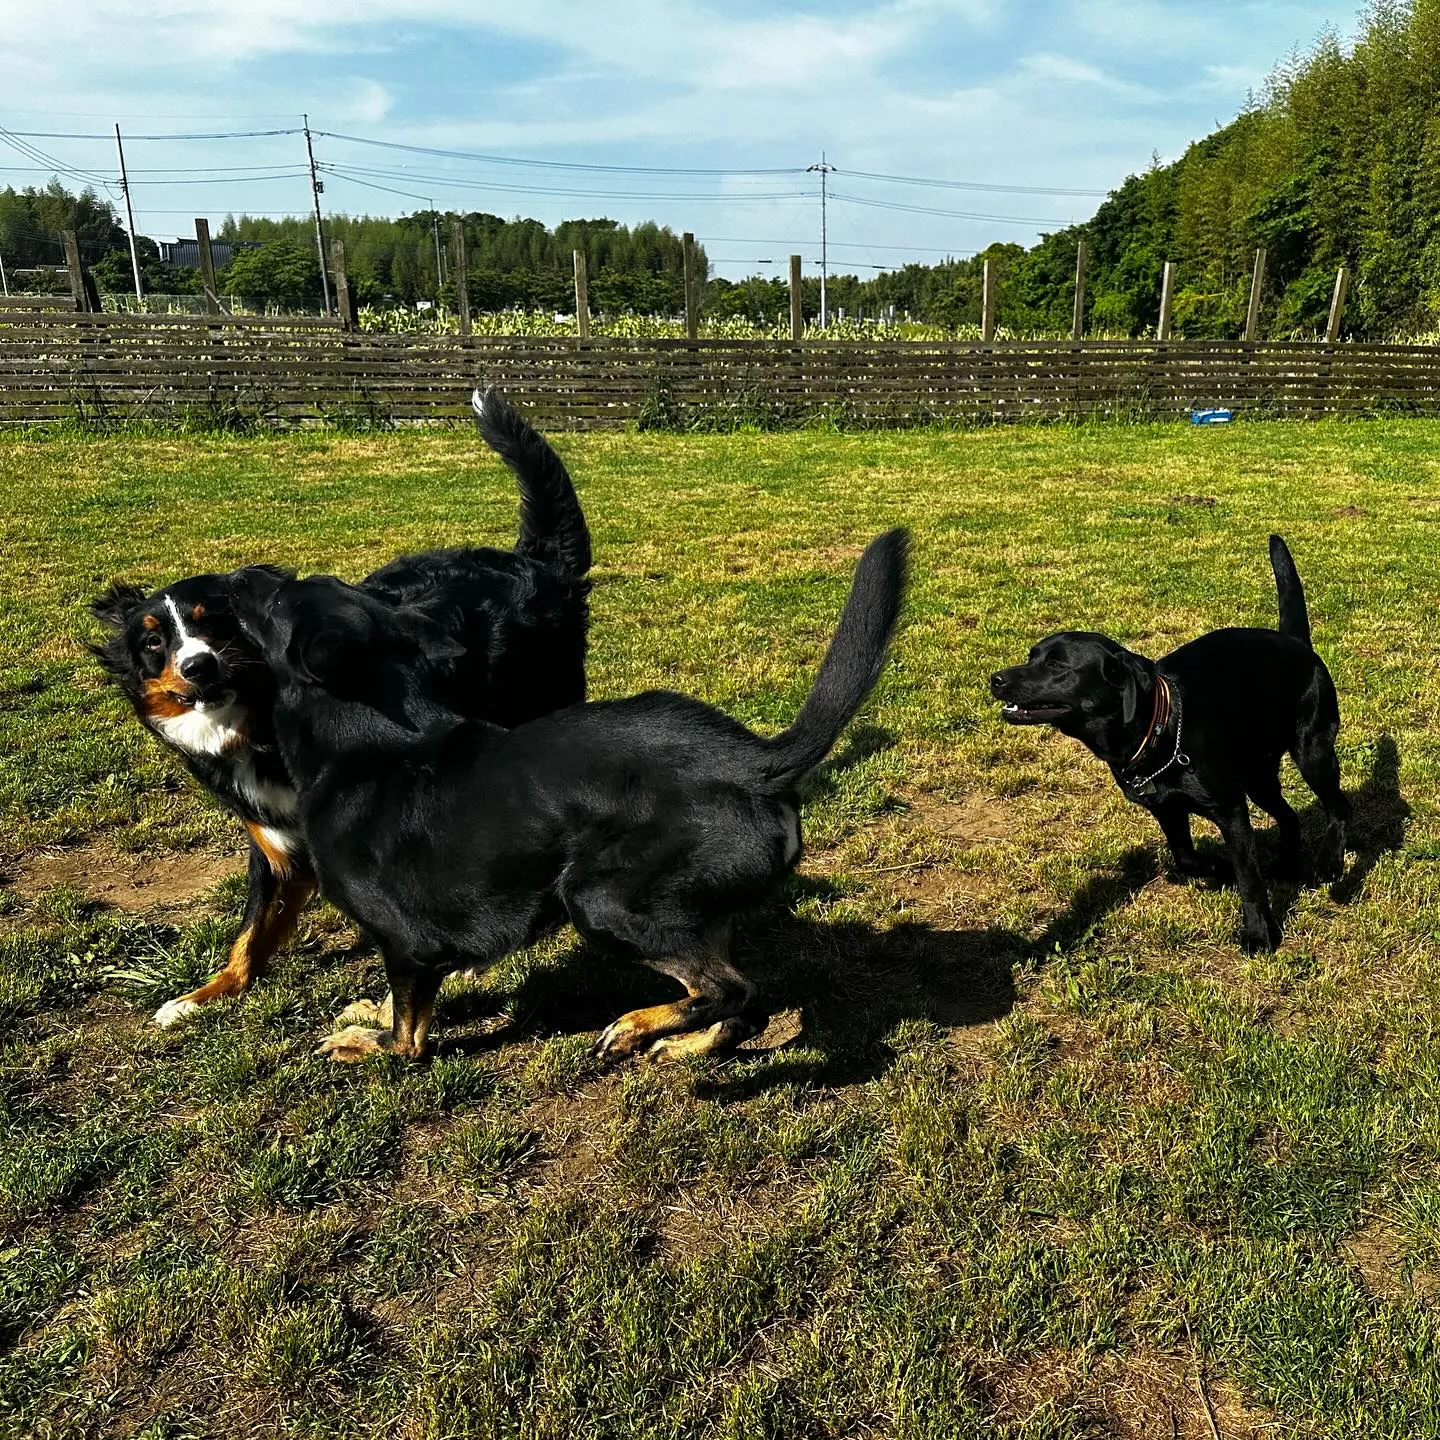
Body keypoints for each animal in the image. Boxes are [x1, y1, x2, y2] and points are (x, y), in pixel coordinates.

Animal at [88, 391, 590, 1025]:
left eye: (215, 622)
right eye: (155, 641)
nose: (198, 665)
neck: (258, 727)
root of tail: (535, 564)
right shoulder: (279, 845)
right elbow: (251, 933)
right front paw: (203, 995)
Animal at [233, 527, 910, 1059]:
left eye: (277, 600)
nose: (247, 572)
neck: (368, 736)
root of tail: (758, 761)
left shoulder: (407, 946)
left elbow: (407, 1036)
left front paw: (365, 1042)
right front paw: (367, 1014)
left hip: (600, 901)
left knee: (731, 990)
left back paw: (634, 1026)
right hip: (685, 911)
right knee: (737, 1007)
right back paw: (681, 1044)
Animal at [990, 535, 1347, 950]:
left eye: (1058, 666)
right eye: (1032, 656)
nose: (995, 679)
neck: (1159, 727)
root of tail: (1296, 643)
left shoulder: (1231, 810)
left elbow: (1249, 879)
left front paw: (1260, 934)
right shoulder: (1167, 810)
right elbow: (1187, 859)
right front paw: (1218, 868)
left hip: (1313, 754)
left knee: (1338, 806)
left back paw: (1332, 864)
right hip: (1257, 776)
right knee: (1289, 817)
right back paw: (1288, 865)